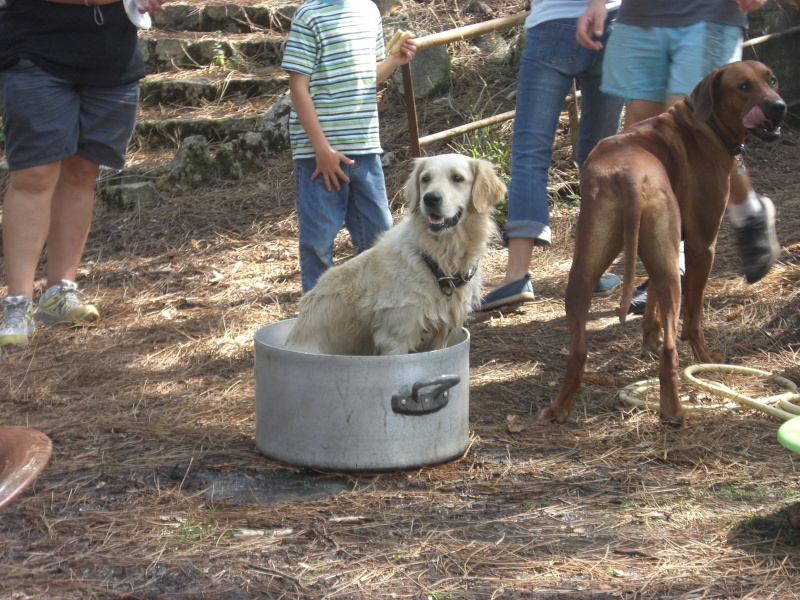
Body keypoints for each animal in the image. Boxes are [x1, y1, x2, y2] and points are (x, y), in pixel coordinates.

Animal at [540, 61, 784, 424]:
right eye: (743, 86)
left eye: (772, 80)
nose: (779, 107)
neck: (704, 124)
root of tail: (626, 174)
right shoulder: (700, 246)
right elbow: (693, 319)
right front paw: (705, 356)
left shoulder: (660, 249)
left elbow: (652, 300)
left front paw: (648, 339)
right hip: (673, 270)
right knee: (674, 344)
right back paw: (674, 409)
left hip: (586, 267)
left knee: (578, 350)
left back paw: (559, 408)